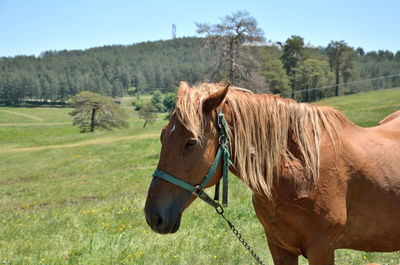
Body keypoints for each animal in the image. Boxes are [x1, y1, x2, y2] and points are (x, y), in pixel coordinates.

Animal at [144, 81, 400, 262]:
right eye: (163, 135)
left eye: (191, 142)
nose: (152, 216)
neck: (301, 171)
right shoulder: (279, 247)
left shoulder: (322, 248)